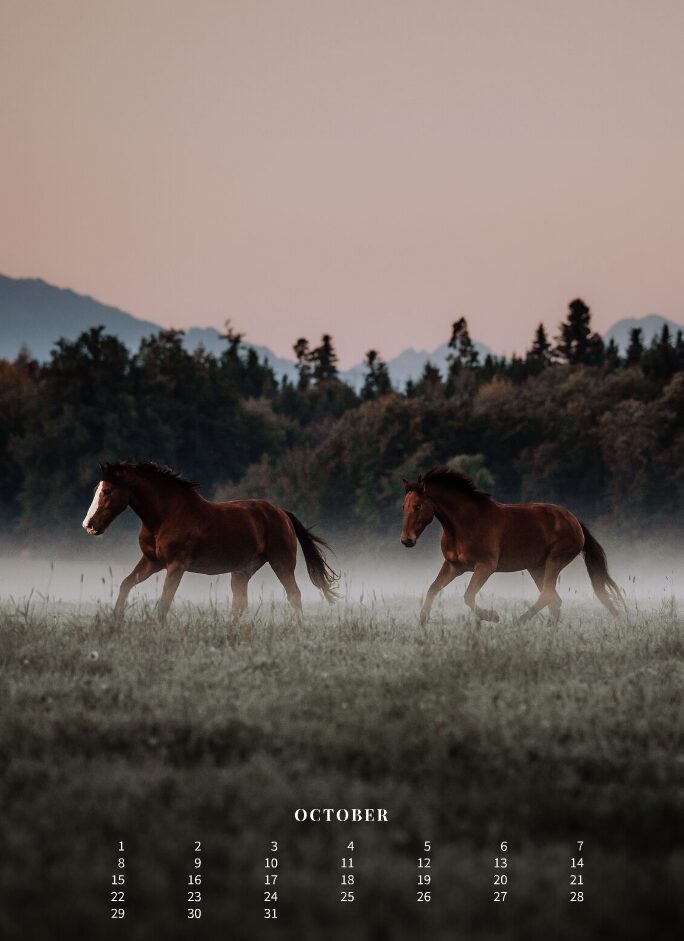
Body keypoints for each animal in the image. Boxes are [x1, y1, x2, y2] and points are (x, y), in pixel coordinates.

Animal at [82, 462, 339, 624]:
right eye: (97, 489)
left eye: (107, 491)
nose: (89, 525)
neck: (166, 515)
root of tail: (281, 513)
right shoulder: (151, 562)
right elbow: (126, 585)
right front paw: (116, 621)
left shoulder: (176, 566)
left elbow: (164, 603)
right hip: (243, 570)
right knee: (240, 603)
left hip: (281, 563)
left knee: (294, 595)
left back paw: (300, 630)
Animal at [400, 467, 624, 624]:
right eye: (404, 506)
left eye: (417, 506)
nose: (406, 540)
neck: (464, 524)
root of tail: (574, 521)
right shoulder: (453, 567)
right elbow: (432, 589)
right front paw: (422, 624)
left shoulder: (485, 567)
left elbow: (468, 596)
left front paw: (492, 616)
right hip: (536, 567)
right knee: (554, 599)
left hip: (555, 561)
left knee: (547, 596)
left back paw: (518, 622)